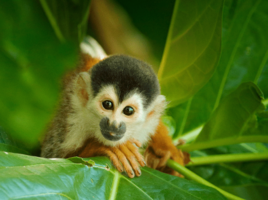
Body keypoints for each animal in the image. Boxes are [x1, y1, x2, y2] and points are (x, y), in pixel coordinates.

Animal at [40, 54, 185, 177]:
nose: (114, 124)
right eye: (107, 104)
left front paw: (165, 149)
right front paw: (102, 147)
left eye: (128, 111)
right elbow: (54, 157)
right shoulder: (69, 121)